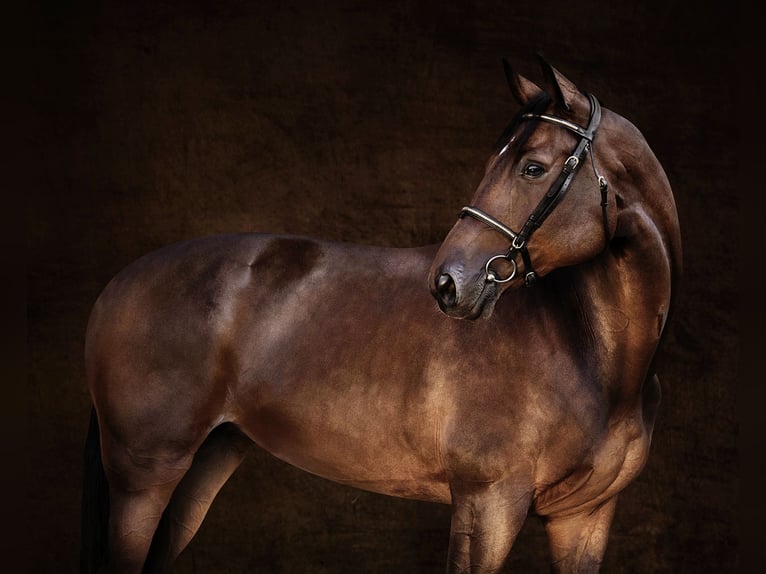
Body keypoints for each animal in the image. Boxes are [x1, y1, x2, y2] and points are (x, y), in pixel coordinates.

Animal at [81, 55, 680, 574]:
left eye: (533, 167)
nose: (448, 283)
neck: (587, 350)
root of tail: (118, 286)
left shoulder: (584, 520)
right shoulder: (488, 505)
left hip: (204, 466)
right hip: (144, 480)